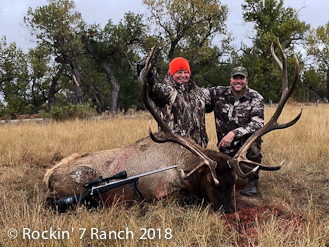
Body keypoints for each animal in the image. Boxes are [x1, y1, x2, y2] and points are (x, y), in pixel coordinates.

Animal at [44, 39, 302, 213]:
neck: (187, 168)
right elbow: (187, 199)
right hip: (83, 180)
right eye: (212, 182)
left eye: (232, 184)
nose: (228, 210)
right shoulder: (158, 195)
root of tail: (47, 177)